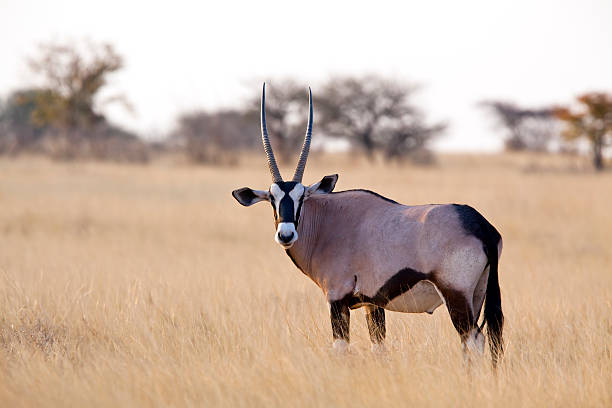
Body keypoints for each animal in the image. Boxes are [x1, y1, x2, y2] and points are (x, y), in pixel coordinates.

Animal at [232, 83, 504, 366]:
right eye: (272, 198)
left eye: (302, 197)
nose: (286, 234)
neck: (327, 222)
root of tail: (480, 226)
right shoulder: (372, 304)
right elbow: (379, 347)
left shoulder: (337, 300)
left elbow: (341, 347)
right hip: (478, 293)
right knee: (482, 339)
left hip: (456, 295)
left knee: (472, 339)